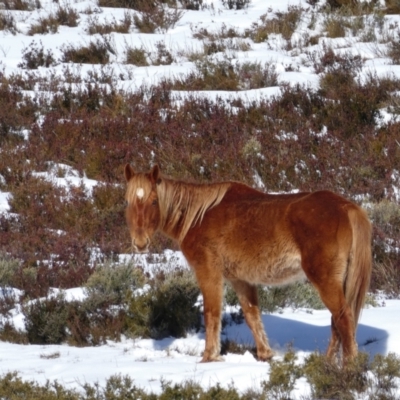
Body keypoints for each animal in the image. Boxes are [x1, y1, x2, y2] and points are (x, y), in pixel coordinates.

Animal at [124, 164, 372, 364]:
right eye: (127, 202)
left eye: (153, 201)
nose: (139, 243)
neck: (199, 216)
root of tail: (346, 207)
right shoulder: (241, 280)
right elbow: (252, 316)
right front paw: (265, 355)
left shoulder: (209, 273)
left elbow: (212, 314)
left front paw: (209, 357)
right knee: (337, 323)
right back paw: (327, 363)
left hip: (326, 280)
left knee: (344, 318)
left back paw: (347, 367)